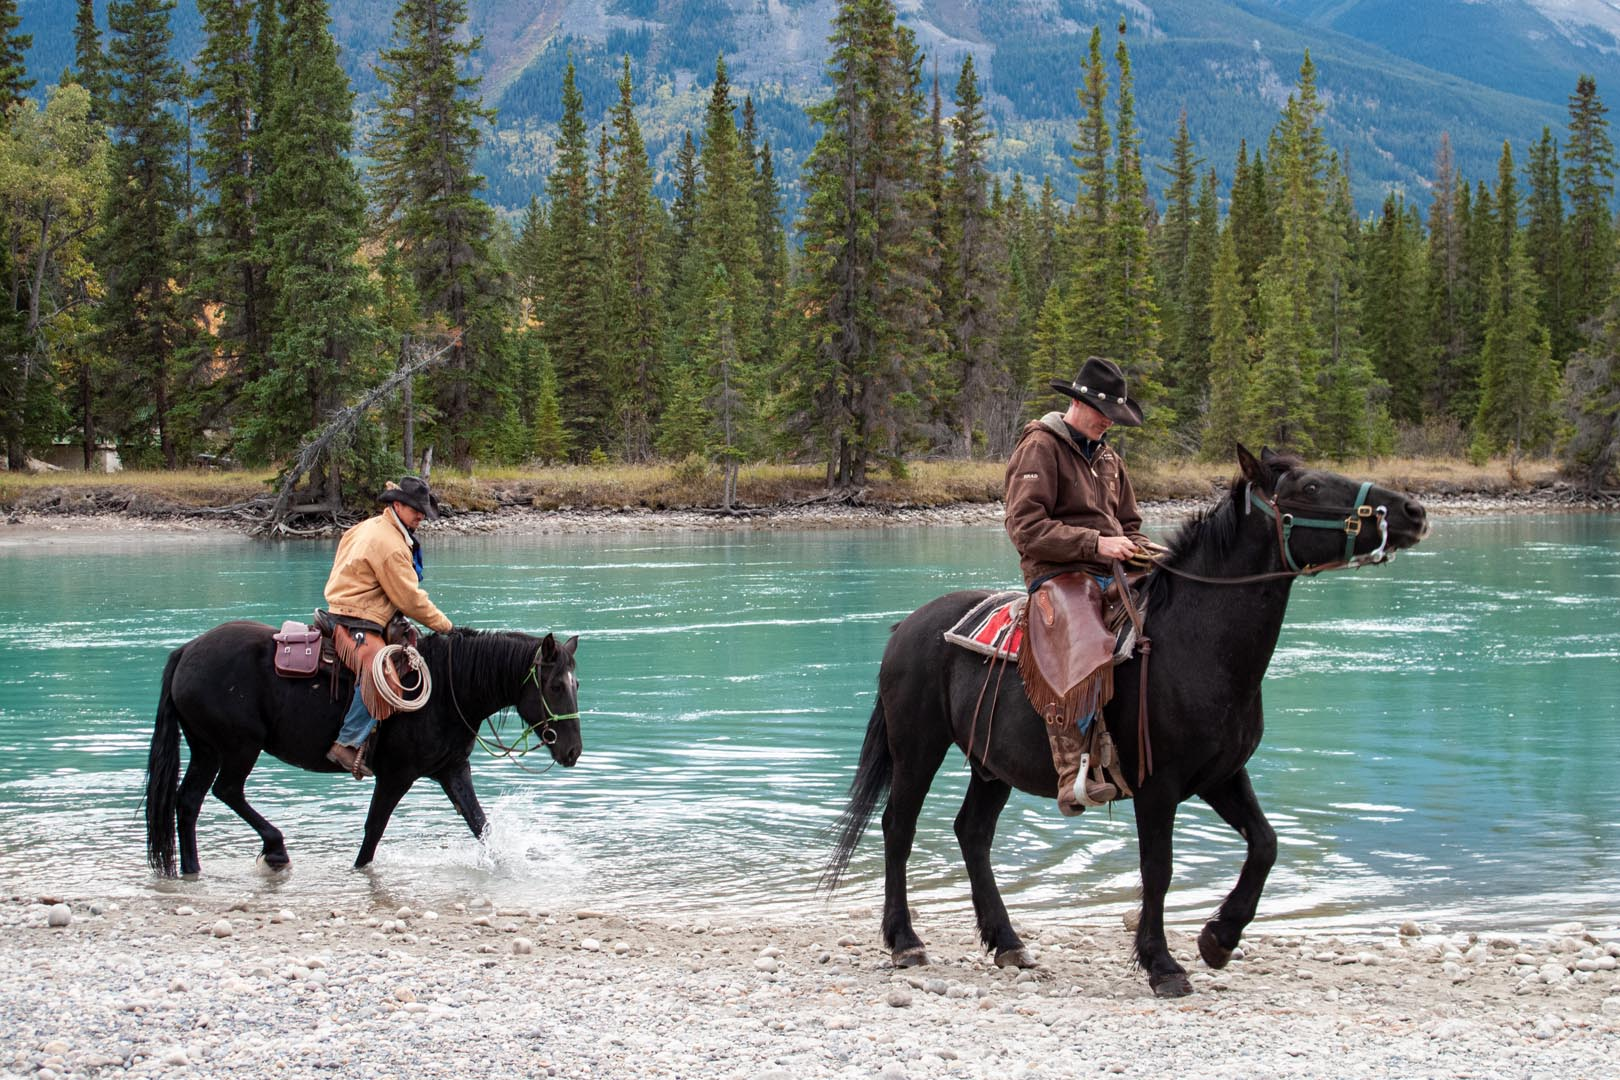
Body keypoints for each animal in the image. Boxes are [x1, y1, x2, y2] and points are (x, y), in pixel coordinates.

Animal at [142, 625, 579, 880]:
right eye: (556, 685)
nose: (573, 751)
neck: (449, 687)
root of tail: (186, 651)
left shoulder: (452, 770)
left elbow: (480, 824)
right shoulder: (396, 775)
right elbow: (373, 832)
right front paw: (358, 870)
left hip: (207, 749)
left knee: (188, 801)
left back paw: (193, 869)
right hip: (238, 747)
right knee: (226, 791)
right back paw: (275, 848)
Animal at [822, 446, 1432, 997]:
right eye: (1309, 487)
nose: (1412, 511)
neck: (1195, 645)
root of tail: (907, 626)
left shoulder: (1222, 775)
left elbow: (1265, 844)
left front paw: (1219, 939)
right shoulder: (1156, 786)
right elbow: (1158, 868)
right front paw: (1163, 965)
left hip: (989, 764)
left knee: (972, 832)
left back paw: (1008, 943)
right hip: (918, 748)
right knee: (898, 828)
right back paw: (905, 942)